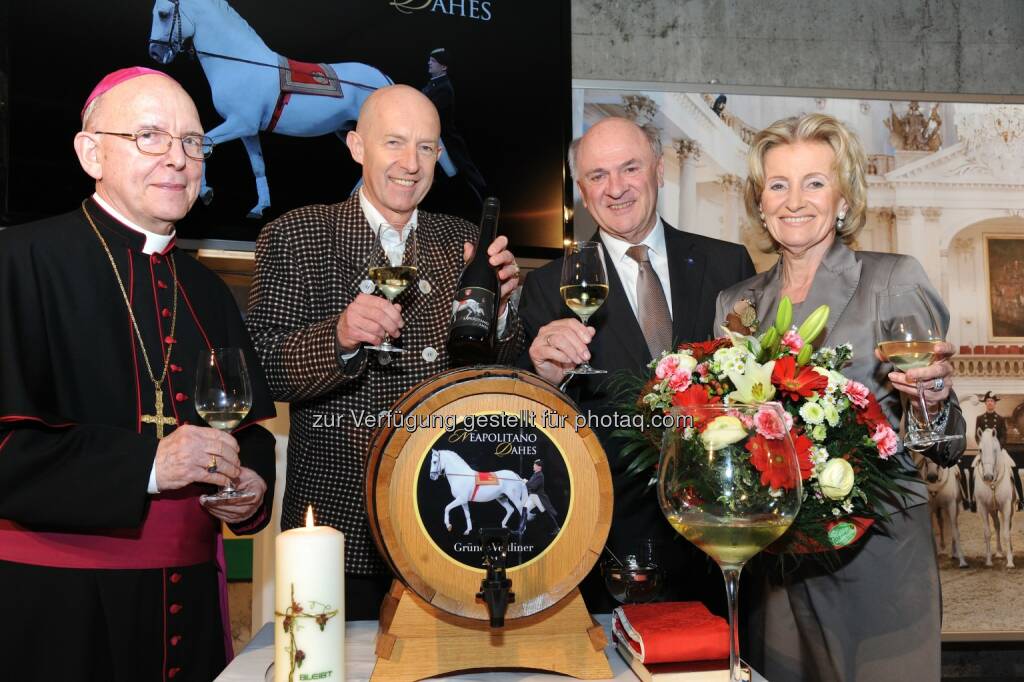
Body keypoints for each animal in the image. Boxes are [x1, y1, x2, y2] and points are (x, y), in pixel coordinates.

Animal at [974, 428, 1015, 565]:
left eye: (994, 450)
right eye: (980, 450)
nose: (987, 476)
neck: (992, 484)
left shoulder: (1006, 506)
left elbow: (1006, 533)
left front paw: (1010, 562)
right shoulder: (983, 507)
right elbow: (987, 533)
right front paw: (988, 561)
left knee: (1007, 526)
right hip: (993, 509)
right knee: (997, 525)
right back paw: (998, 552)